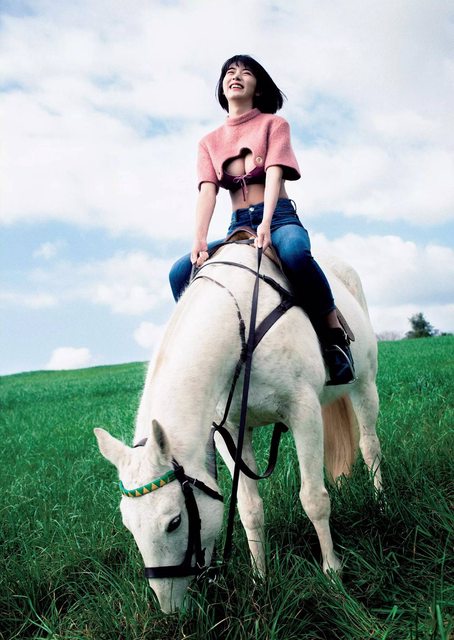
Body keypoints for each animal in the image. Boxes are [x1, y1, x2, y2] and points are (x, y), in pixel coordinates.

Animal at [94, 239, 382, 613]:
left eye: (174, 522)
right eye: (128, 525)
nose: (169, 608)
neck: (241, 324)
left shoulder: (304, 413)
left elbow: (314, 499)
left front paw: (333, 575)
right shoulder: (230, 431)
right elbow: (249, 509)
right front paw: (261, 580)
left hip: (366, 385)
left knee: (370, 446)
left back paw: (381, 503)